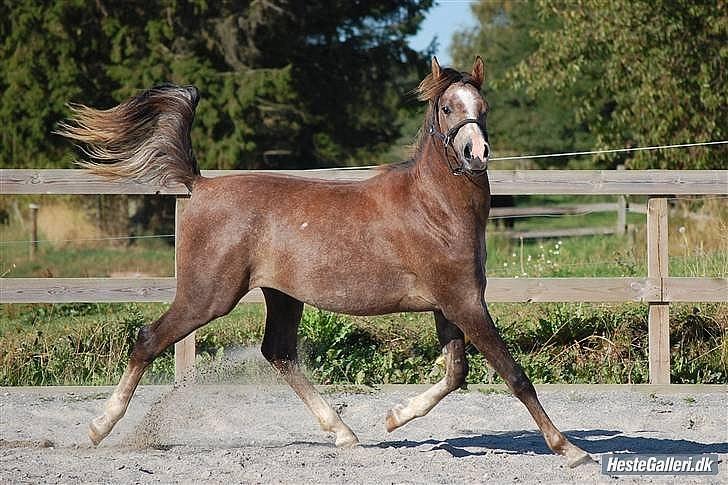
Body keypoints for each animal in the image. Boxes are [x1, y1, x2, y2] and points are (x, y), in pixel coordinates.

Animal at [55, 55, 592, 466]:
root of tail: (200, 184)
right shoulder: (464, 303)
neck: (434, 207)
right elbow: (514, 374)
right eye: (446, 106)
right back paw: (98, 428)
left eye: (483, 107)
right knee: (148, 340)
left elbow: (455, 374)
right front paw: (569, 449)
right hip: (208, 296)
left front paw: (393, 417)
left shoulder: (449, 305)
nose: (476, 152)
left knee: (278, 352)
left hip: (282, 296)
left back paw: (344, 433)